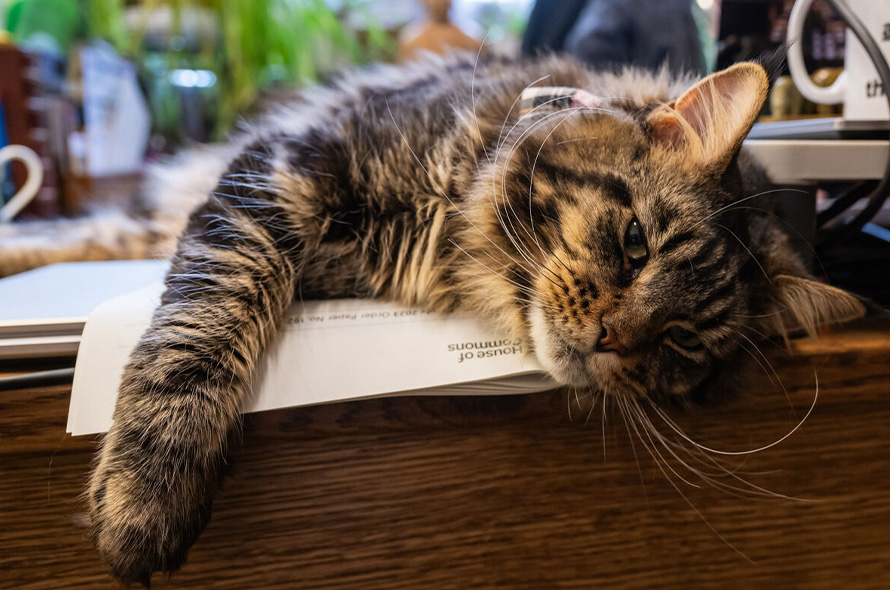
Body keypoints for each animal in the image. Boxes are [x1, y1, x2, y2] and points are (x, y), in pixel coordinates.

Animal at [81, 54, 860, 588]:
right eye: (636, 244)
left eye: (682, 341)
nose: (610, 340)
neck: (450, 232)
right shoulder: (283, 169)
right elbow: (203, 320)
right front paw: (146, 492)